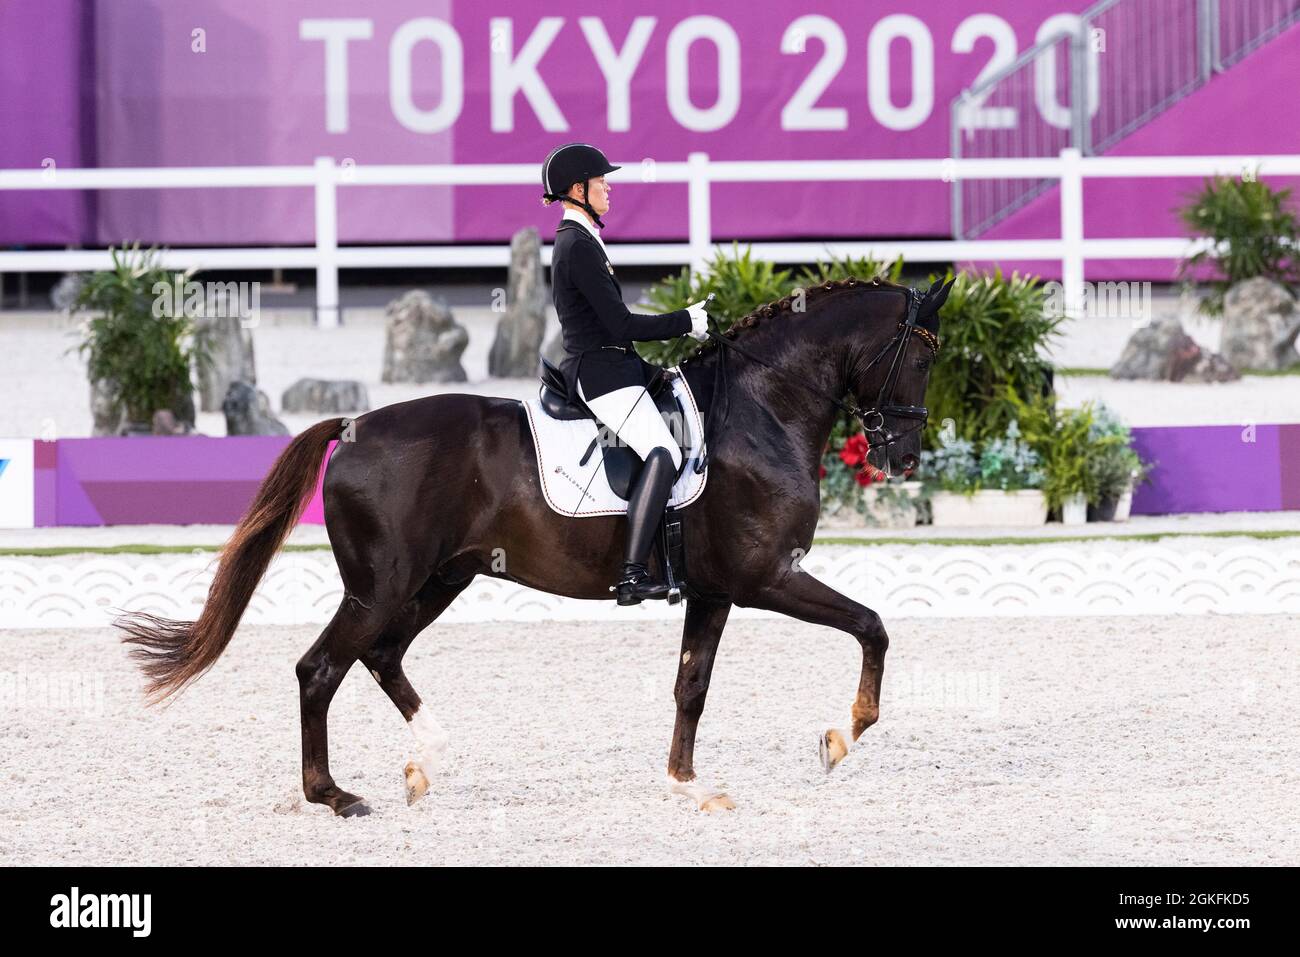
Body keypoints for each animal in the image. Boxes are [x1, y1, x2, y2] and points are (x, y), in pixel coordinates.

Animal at [119, 274, 946, 816]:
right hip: (383, 584)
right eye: (921, 356)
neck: (760, 408)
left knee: (381, 654)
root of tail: (352, 427)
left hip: (440, 579)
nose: (903, 456)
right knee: (321, 667)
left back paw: (426, 760)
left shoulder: (713, 589)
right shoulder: (767, 575)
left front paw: (685, 783)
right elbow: (872, 624)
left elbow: (692, 685)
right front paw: (843, 734)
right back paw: (334, 794)